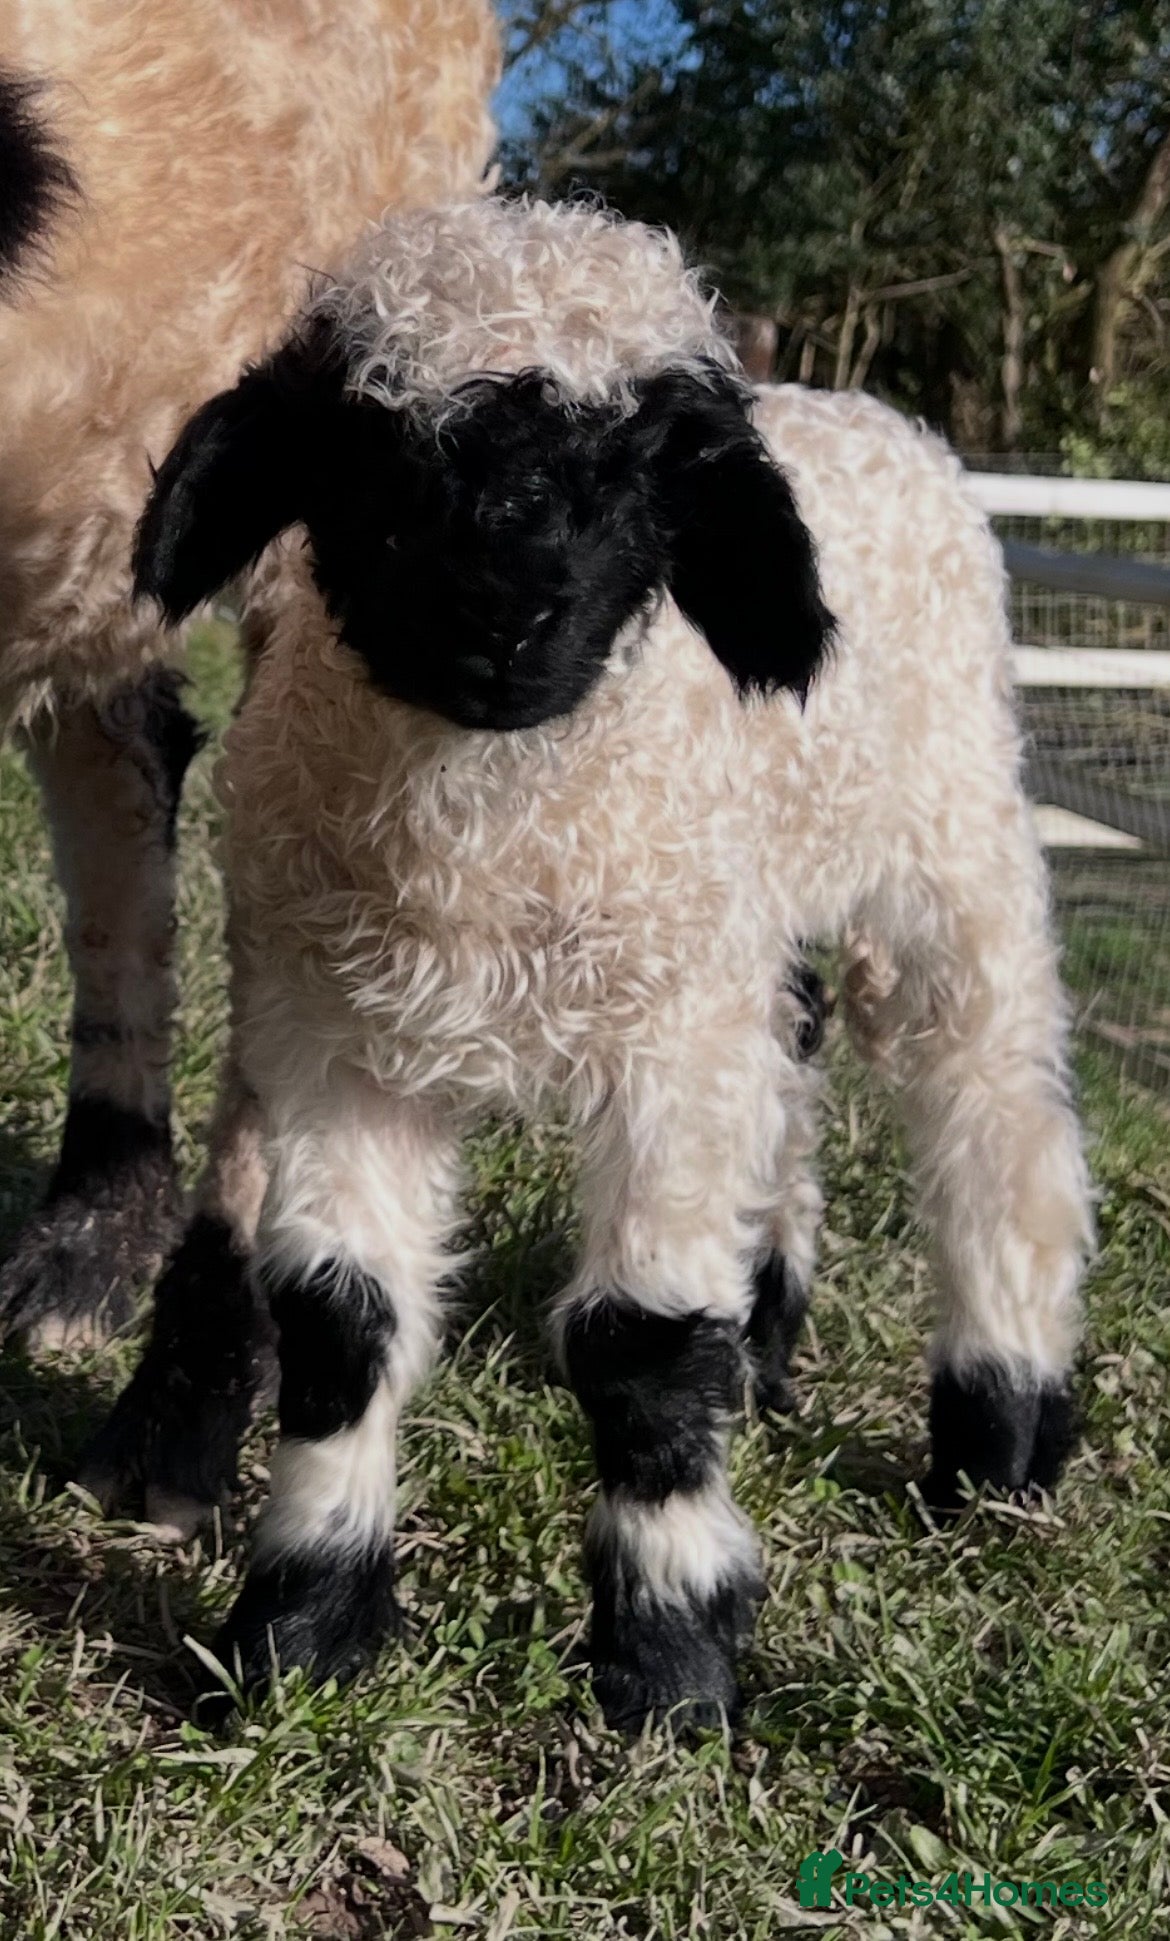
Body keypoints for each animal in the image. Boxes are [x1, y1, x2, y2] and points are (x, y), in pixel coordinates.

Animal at [124, 196, 1093, 1731]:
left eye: (651, 475)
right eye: (368, 449)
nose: (501, 614)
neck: (489, 847)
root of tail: (862, 409)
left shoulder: (663, 1045)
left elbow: (642, 1348)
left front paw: (672, 1665)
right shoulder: (340, 1034)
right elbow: (341, 1329)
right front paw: (298, 1631)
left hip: (949, 843)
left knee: (993, 1104)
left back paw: (999, 1431)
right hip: (748, 920)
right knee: (794, 1067)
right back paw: (772, 1350)